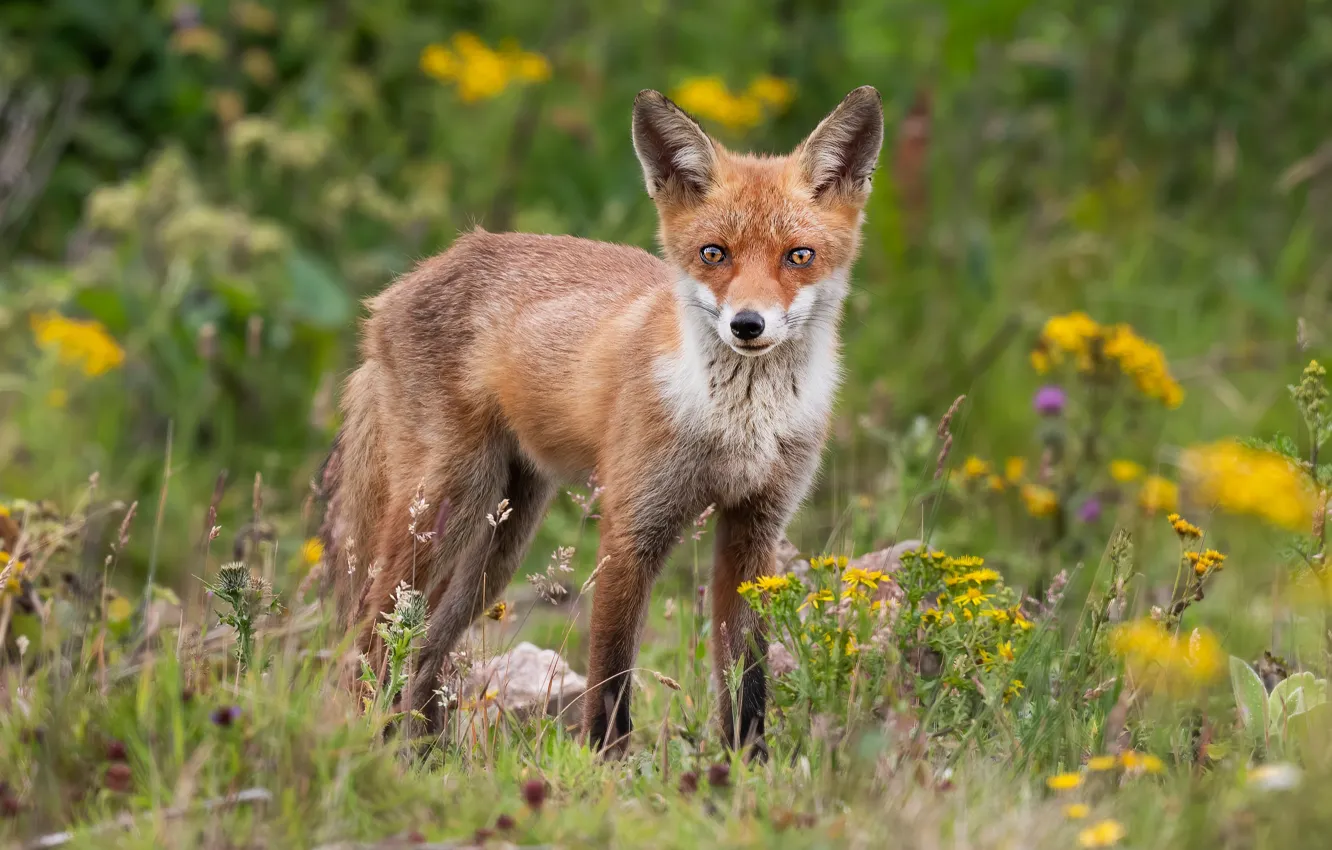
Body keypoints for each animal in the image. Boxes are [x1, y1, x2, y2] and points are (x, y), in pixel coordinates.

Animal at [321, 85, 884, 758]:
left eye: (799, 256)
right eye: (713, 254)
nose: (747, 324)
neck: (737, 425)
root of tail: (397, 289)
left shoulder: (755, 530)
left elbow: (746, 675)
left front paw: (746, 764)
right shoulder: (631, 526)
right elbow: (612, 673)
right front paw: (606, 766)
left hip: (499, 541)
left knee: (426, 651)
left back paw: (427, 756)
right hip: (447, 506)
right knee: (371, 639)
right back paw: (369, 743)